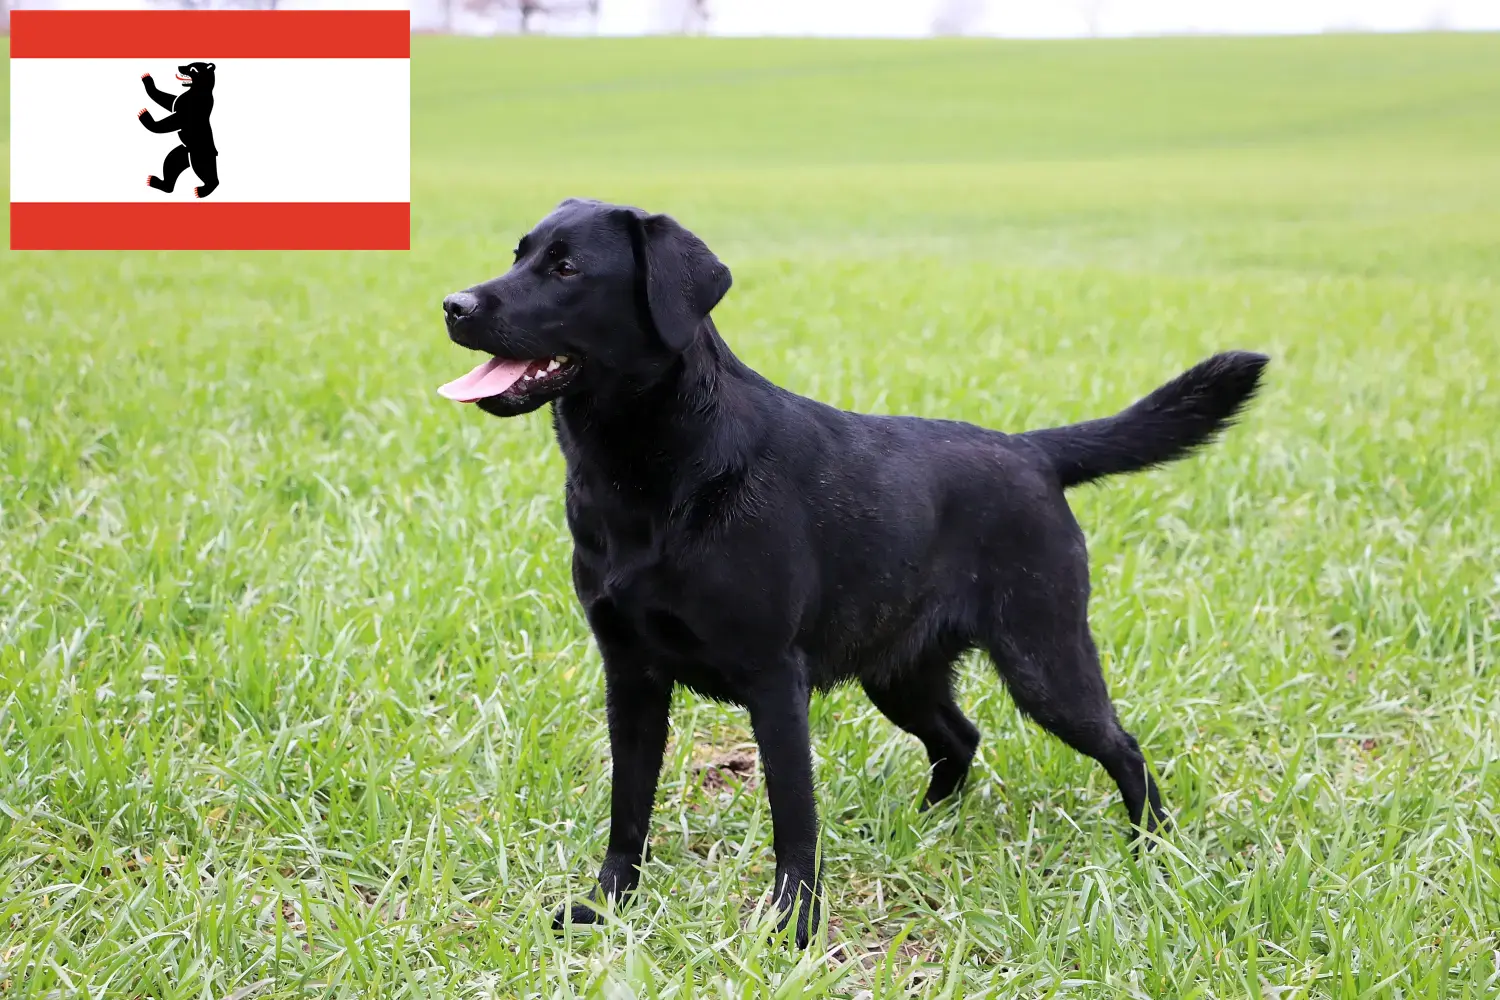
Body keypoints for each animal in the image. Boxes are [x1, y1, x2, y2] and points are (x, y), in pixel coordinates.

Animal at [438, 200, 1266, 947]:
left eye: (567, 268)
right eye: (519, 255)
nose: (452, 304)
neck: (651, 472)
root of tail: (1031, 450)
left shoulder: (774, 681)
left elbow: (793, 819)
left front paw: (793, 928)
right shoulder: (630, 674)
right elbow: (628, 806)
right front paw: (607, 906)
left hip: (1045, 661)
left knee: (1122, 746)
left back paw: (1152, 849)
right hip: (899, 673)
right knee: (960, 737)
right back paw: (924, 827)